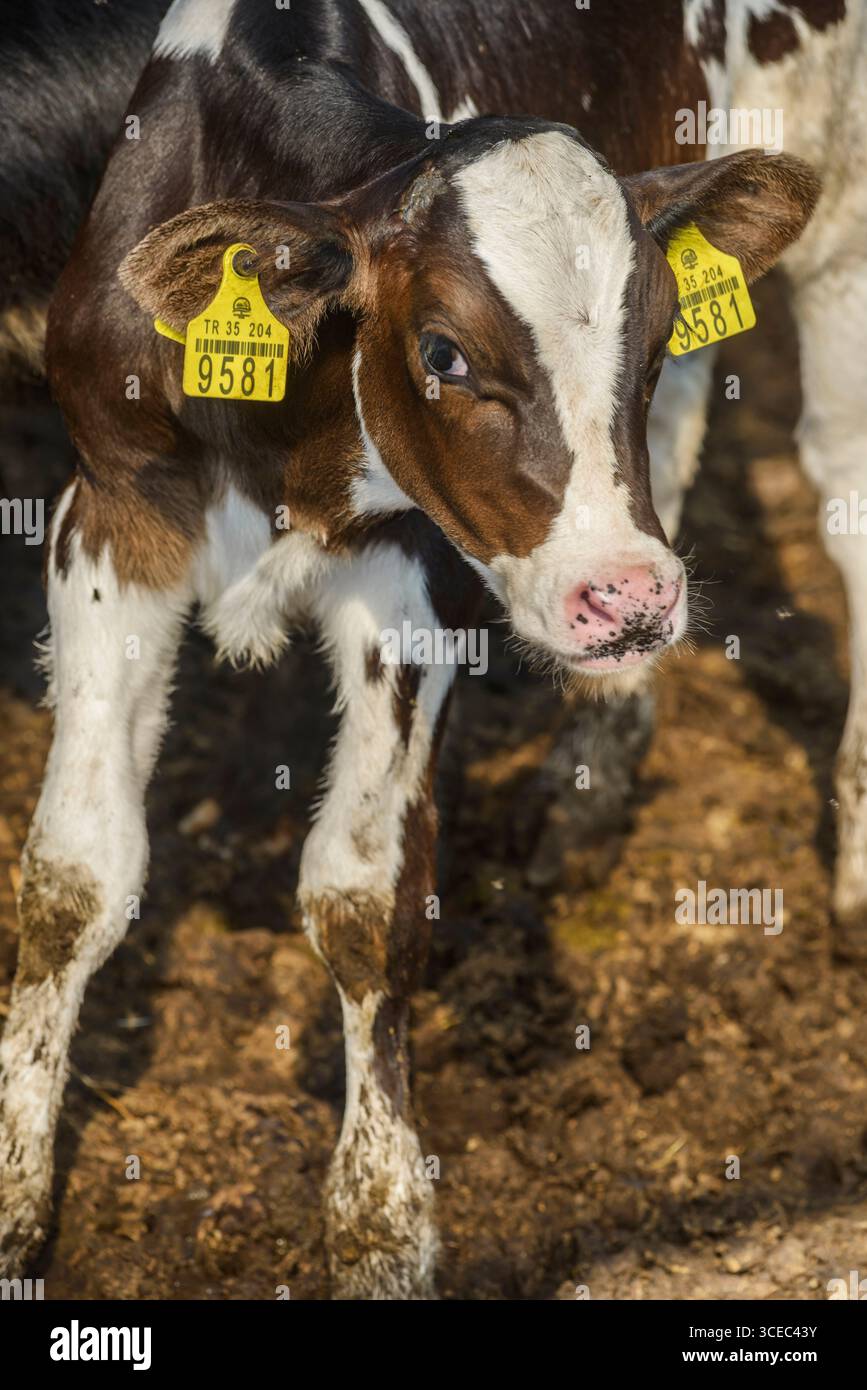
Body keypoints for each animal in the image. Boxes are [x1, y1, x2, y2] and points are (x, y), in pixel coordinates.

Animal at [0, 0, 859, 1299]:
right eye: (443, 354)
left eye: (654, 328)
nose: (629, 596)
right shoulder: (113, 510)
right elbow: (73, 876)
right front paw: (14, 1188)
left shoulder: (416, 567)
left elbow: (365, 896)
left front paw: (381, 1219)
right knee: (684, 441)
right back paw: (590, 777)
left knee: (843, 486)